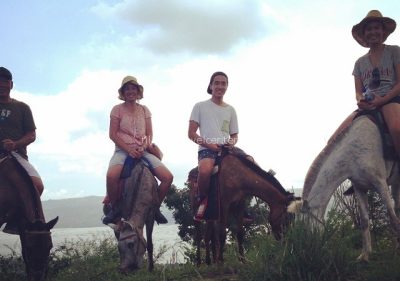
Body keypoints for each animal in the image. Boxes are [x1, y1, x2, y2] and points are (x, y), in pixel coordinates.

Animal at [290, 113, 398, 260]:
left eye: (305, 227)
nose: (304, 252)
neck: (353, 154)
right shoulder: (359, 188)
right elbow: (365, 221)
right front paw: (365, 255)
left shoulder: (381, 184)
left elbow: (392, 218)